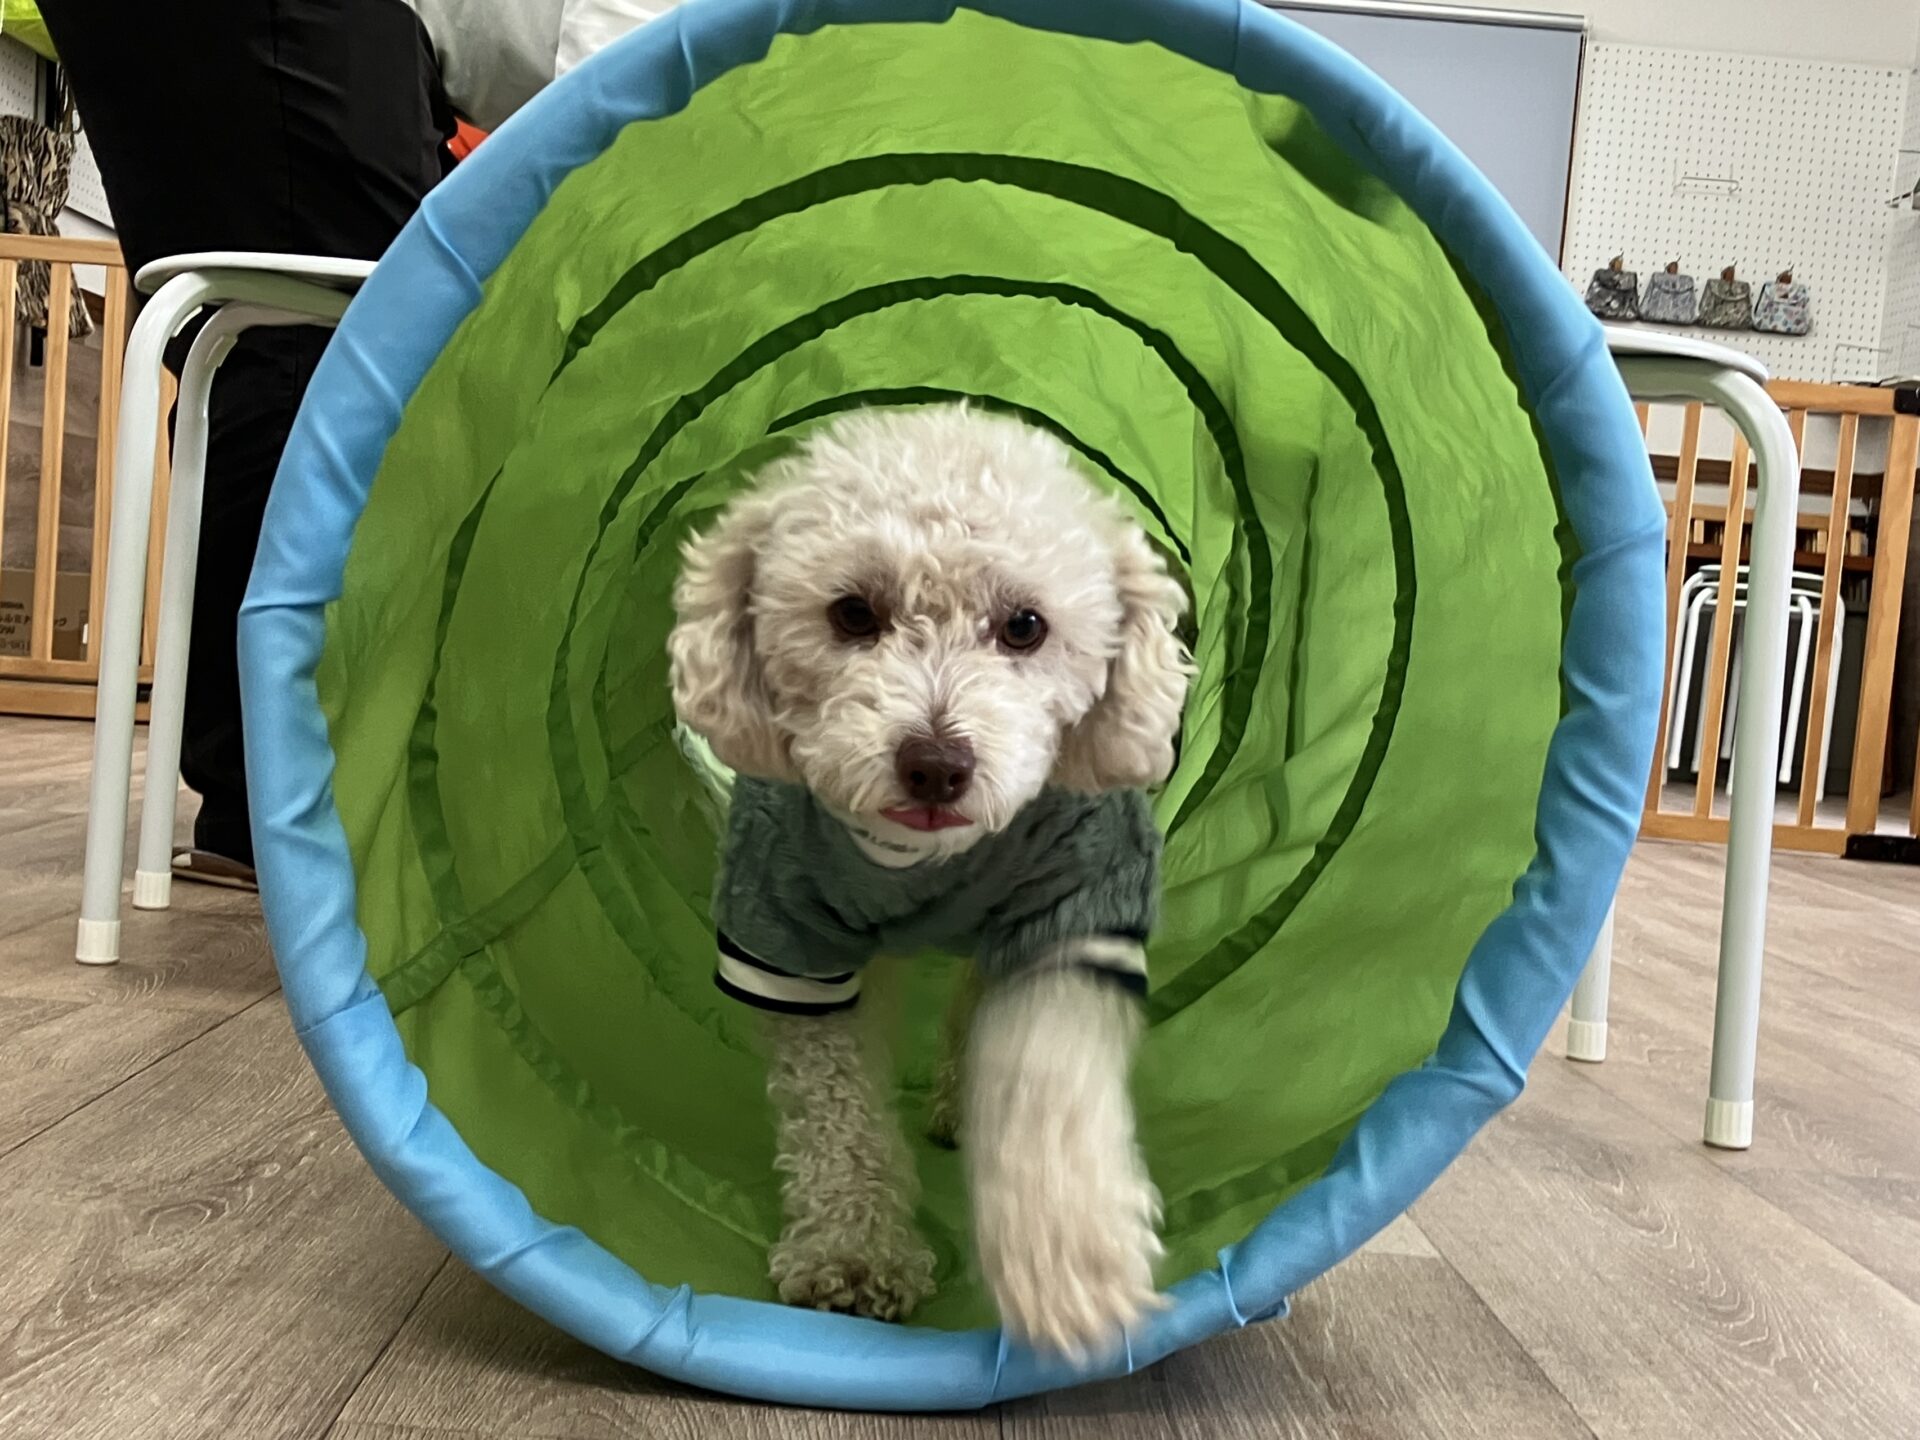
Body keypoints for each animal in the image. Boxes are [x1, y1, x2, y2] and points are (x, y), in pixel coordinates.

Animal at [667, 403, 1191, 1357]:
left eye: (1025, 626)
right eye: (851, 613)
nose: (937, 766)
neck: (927, 864)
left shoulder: (1073, 906)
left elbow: (1044, 1080)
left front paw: (1071, 1266)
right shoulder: (788, 937)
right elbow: (836, 1113)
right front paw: (854, 1253)